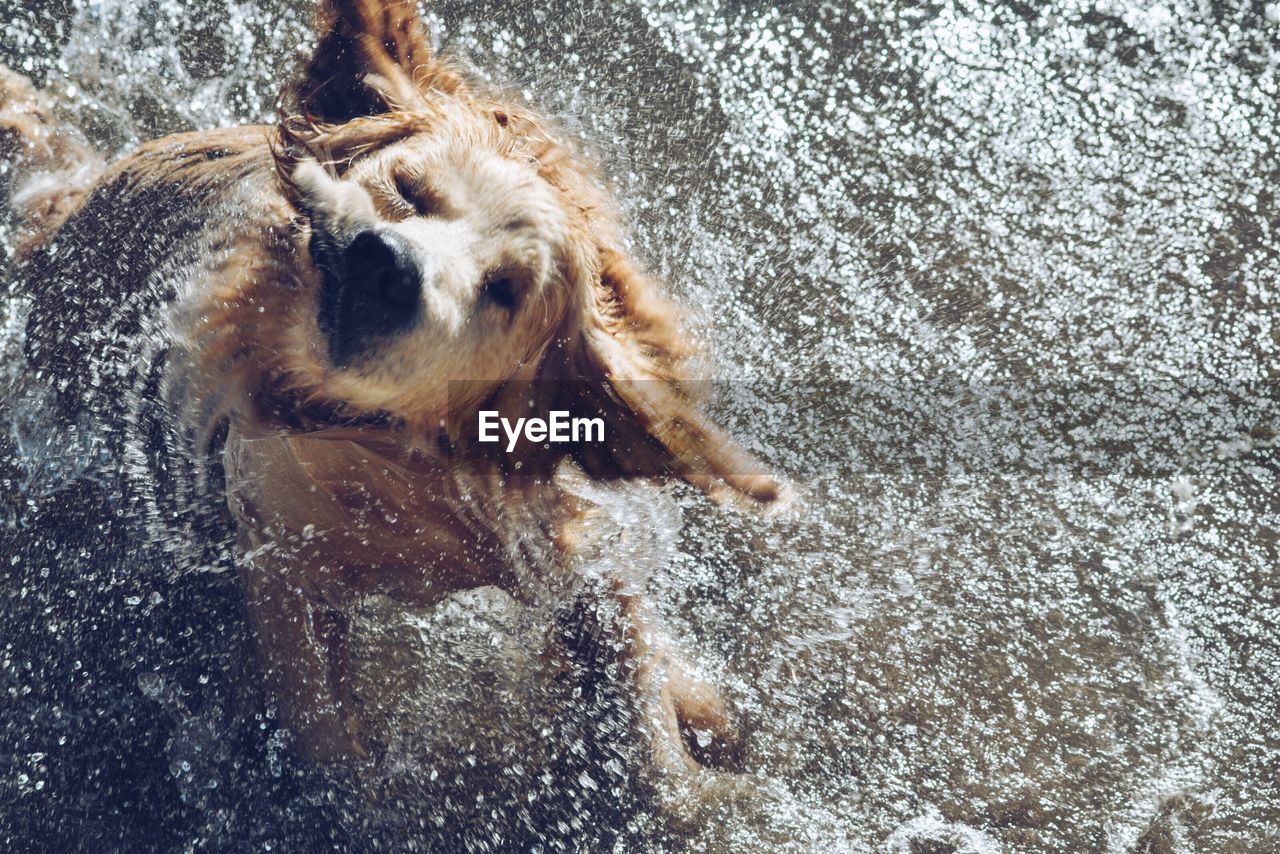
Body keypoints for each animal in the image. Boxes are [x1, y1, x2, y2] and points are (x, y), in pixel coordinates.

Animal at [2, 0, 778, 804]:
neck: (399, 463)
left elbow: (640, 706)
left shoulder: (561, 538)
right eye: (409, 190)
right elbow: (325, 737)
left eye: (504, 290)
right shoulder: (280, 550)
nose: (387, 264)